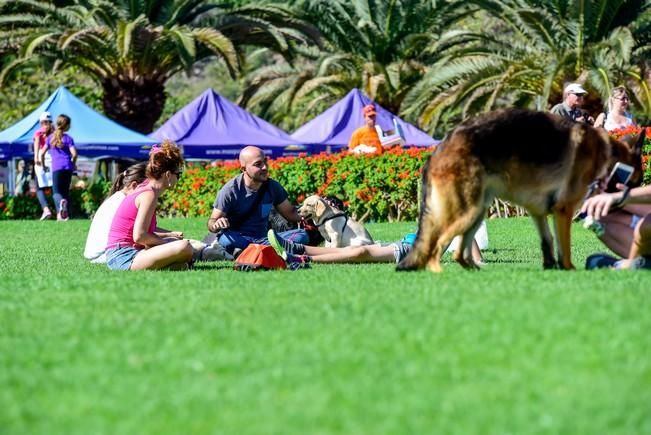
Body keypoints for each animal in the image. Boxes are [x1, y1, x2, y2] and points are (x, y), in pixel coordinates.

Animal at [398, 108, 648, 272]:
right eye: (633, 184)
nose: (622, 205)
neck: (607, 156)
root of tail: (440, 147)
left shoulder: (537, 212)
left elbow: (547, 242)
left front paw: (551, 268)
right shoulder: (563, 210)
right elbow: (564, 248)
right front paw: (569, 270)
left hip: (477, 211)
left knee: (459, 252)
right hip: (468, 211)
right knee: (436, 248)